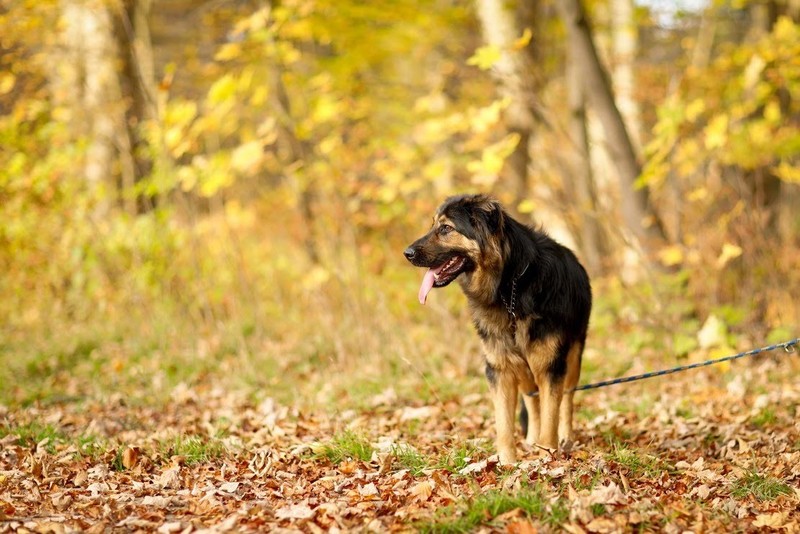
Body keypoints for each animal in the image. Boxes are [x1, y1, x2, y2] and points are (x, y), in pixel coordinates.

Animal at [404, 195, 592, 466]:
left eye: (446, 228)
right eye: (433, 226)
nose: (406, 253)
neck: (509, 287)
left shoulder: (550, 366)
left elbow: (551, 417)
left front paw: (547, 457)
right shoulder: (500, 368)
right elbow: (504, 424)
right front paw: (508, 464)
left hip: (572, 357)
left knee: (566, 400)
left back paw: (565, 439)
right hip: (522, 366)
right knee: (531, 400)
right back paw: (531, 440)